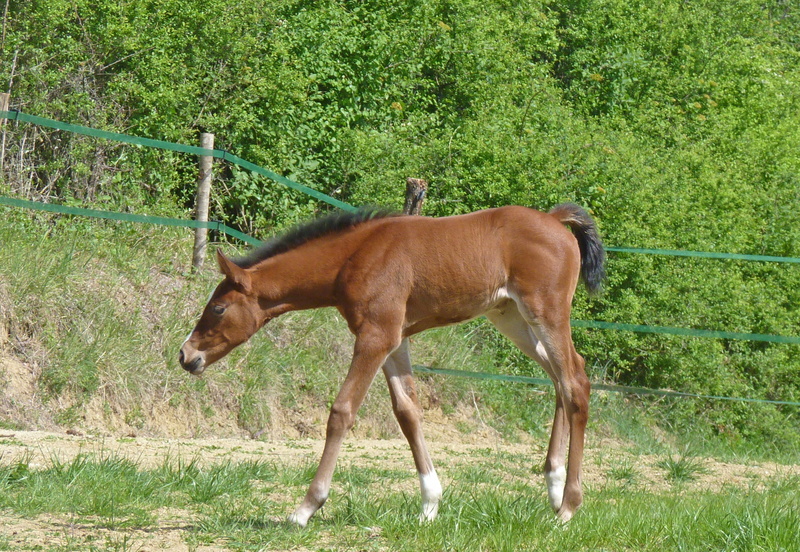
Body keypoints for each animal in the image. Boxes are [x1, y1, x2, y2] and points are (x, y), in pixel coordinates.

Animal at [179, 203, 605, 526]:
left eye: (218, 308)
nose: (186, 355)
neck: (354, 256)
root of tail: (554, 219)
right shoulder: (394, 339)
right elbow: (407, 412)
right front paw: (430, 504)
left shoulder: (376, 336)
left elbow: (342, 411)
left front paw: (306, 508)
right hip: (512, 318)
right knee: (562, 378)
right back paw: (553, 487)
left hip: (545, 313)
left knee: (575, 383)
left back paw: (568, 508)